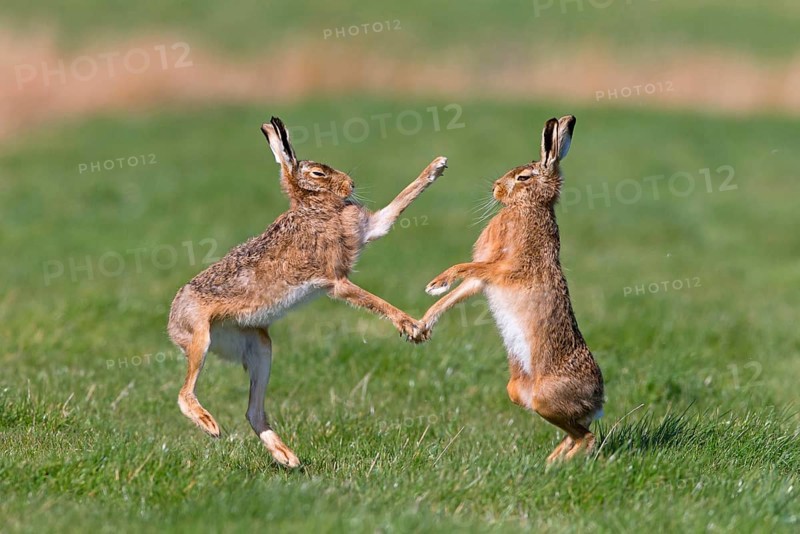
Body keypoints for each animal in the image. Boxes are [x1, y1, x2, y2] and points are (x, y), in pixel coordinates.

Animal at [168, 116, 447, 468]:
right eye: (318, 173)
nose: (351, 184)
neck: (312, 206)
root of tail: (171, 322)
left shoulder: (368, 229)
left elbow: (396, 205)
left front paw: (437, 166)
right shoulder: (336, 281)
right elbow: (374, 301)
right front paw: (412, 326)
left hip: (260, 347)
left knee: (253, 412)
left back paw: (287, 457)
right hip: (200, 337)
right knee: (183, 394)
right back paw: (211, 425)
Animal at [421, 116, 603, 462]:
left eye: (523, 177)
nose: (495, 188)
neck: (529, 206)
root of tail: (599, 400)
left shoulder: (506, 268)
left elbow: (467, 268)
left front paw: (436, 282)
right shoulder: (483, 280)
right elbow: (458, 291)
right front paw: (424, 322)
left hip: (547, 397)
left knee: (587, 438)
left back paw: (559, 466)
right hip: (520, 393)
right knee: (575, 433)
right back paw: (551, 462)